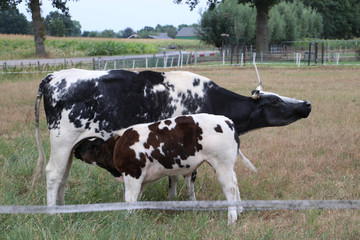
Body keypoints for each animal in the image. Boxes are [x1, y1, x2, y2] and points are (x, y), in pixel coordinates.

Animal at [32, 68, 310, 205]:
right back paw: (53, 211)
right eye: (275, 101)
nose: (306, 104)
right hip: (61, 140)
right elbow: (188, 176)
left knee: (64, 175)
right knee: (54, 174)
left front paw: (172, 200)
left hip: (71, 145)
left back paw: (64, 206)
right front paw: (189, 202)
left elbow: (175, 176)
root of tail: (55, 75)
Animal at [74, 113, 258, 224]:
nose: (75, 149)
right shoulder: (141, 179)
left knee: (230, 188)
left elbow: (129, 199)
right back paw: (240, 211)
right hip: (228, 166)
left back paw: (231, 218)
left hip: (222, 164)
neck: (117, 145)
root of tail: (227, 121)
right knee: (235, 184)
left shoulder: (132, 174)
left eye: (88, 145)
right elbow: (137, 198)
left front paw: (128, 218)